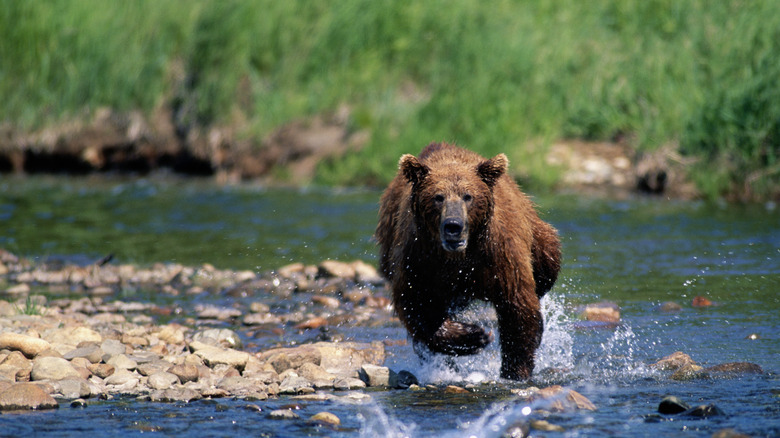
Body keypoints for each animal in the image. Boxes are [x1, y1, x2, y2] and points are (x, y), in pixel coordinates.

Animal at [376, 141, 560, 380]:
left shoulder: (500, 254)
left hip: (537, 236)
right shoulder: (418, 258)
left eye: (468, 196)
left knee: (547, 264)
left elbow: (516, 306)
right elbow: (416, 304)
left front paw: (515, 370)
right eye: (438, 197)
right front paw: (474, 336)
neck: (459, 257)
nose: (453, 225)